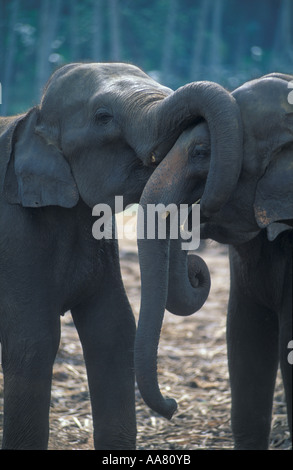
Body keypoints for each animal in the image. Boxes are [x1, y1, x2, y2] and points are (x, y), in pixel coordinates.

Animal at [0, 60, 242, 450]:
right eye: (103, 117)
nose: (173, 406)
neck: (32, 116)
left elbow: (113, 330)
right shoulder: (14, 237)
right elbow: (33, 341)